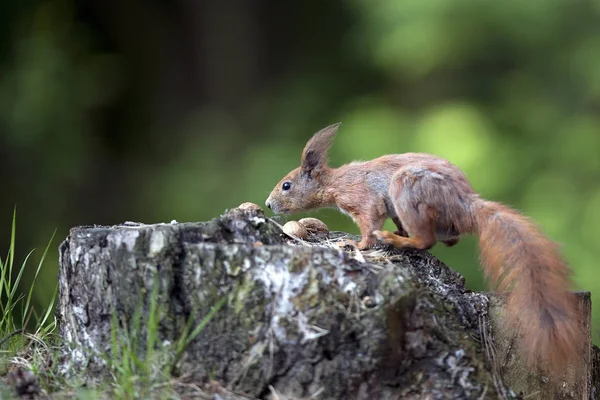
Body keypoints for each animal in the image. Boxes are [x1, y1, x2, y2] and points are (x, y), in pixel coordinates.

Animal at [266, 122, 580, 376]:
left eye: (286, 185)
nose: (268, 205)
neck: (335, 182)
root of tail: (465, 205)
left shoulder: (364, 200)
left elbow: (369, 224)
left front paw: (357, 244)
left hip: (408, 190)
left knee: (425, 240)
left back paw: (396, 240)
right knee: (445, 238)